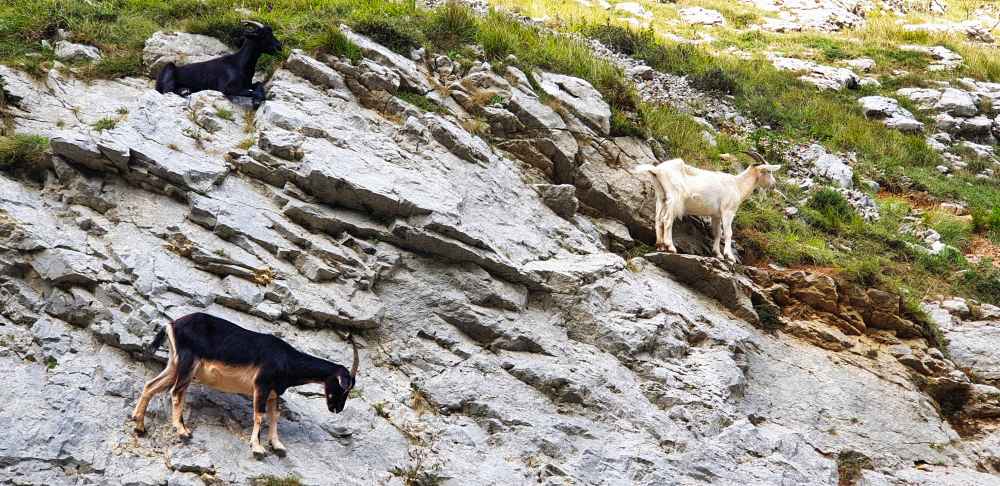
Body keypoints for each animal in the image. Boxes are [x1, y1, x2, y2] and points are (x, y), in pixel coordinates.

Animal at [130, 312, 358, 458]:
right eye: (343, 386)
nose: (337, 409)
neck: (286, 358)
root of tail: (172, 324)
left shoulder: (274, 393)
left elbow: (274, 417)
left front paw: (278, 446)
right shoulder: (261, 386)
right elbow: (259, 416)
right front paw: (257, 448)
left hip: (174, 365)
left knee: (151, 385)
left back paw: (139, 425)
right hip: (188, 363)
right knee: (176, 392)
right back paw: (182, 431)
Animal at [633, 151, 781, 262]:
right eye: (768, 171)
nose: (773, 185)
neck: (737, 185)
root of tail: (657, 170)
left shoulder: (716, 215)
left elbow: (717, 233)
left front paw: (718, 254)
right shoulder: (728, 211)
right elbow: (728, 233)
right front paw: (729, 256)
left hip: (661, 198)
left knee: (658, 220)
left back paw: (660, 246)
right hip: (674, 198)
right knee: (667, 220)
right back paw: (670, 247)